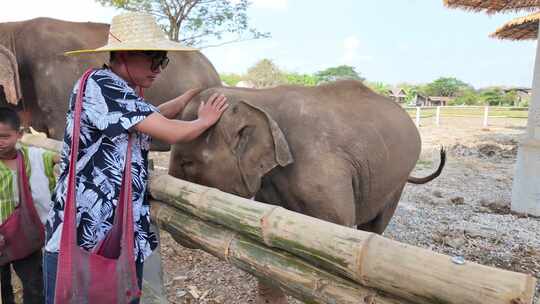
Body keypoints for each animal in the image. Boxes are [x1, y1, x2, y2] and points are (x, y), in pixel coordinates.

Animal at [171, 79, 446, 302]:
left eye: (188, 163)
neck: (258, 98)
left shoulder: (322, 176)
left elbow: (335, 241)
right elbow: (261, 239)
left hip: (397, 179)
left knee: (376, 225)